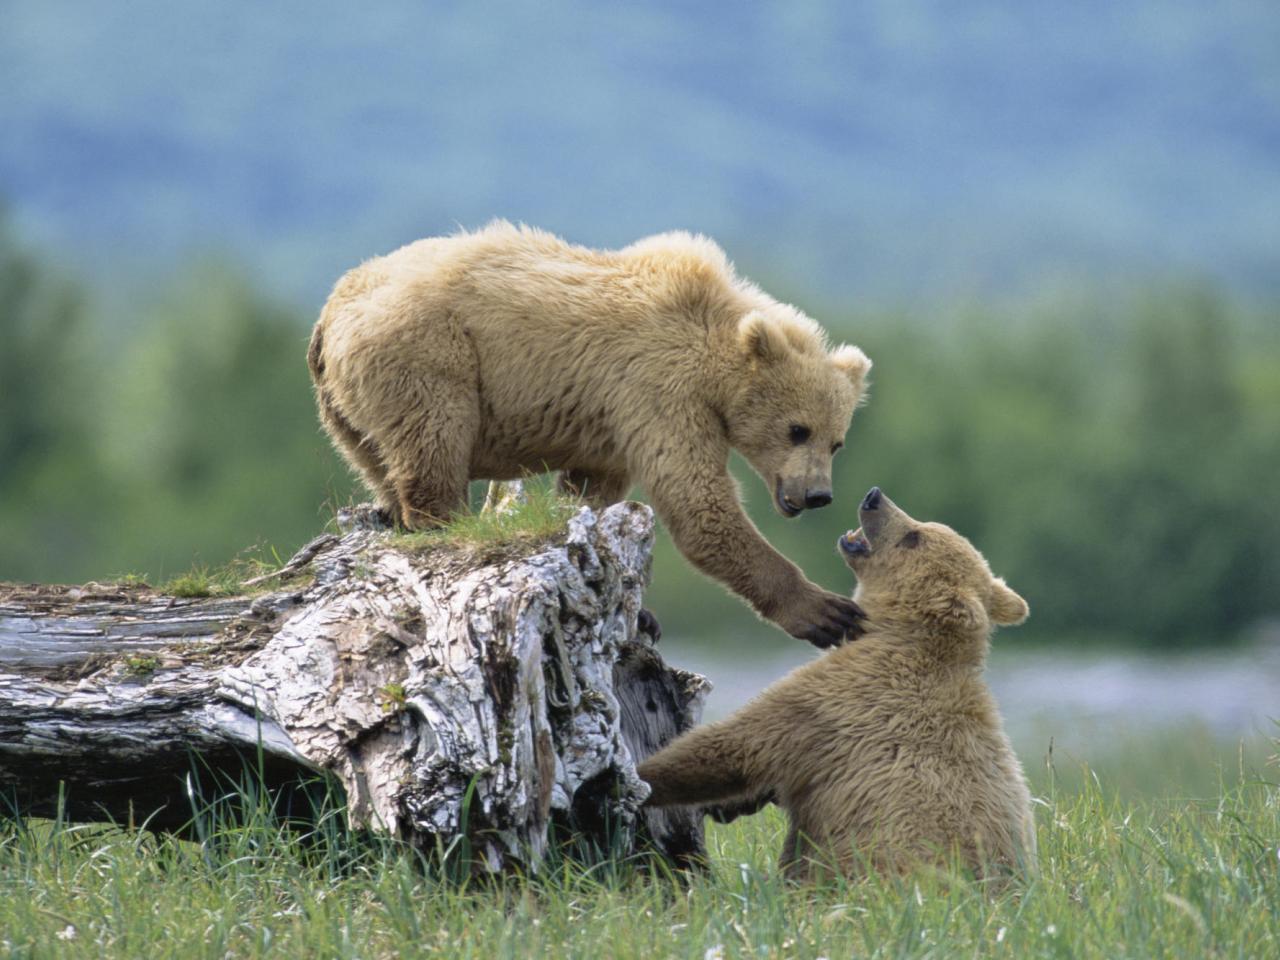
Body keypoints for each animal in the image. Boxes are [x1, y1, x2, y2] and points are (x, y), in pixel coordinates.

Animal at [307, 225, 870, 647]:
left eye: (836, 441)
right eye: (797, 430)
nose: (817, 495)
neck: (714, 351)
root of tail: (329, 313)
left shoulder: (613, 422)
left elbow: (593, 491)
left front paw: (640, 610)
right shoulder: (659, 390)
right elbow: (699, 504)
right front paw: (828, 611)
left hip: (346, 411)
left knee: (380, 462)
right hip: (427, 354)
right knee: (434, 442)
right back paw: (446, 520)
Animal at [634, 491, 1034, 885]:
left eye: (913, 536)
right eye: (922, 527)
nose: (874, 497)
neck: (901, 634)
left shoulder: (838, 702)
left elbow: (735, 747)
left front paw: (641, 777)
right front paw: (729, 804)